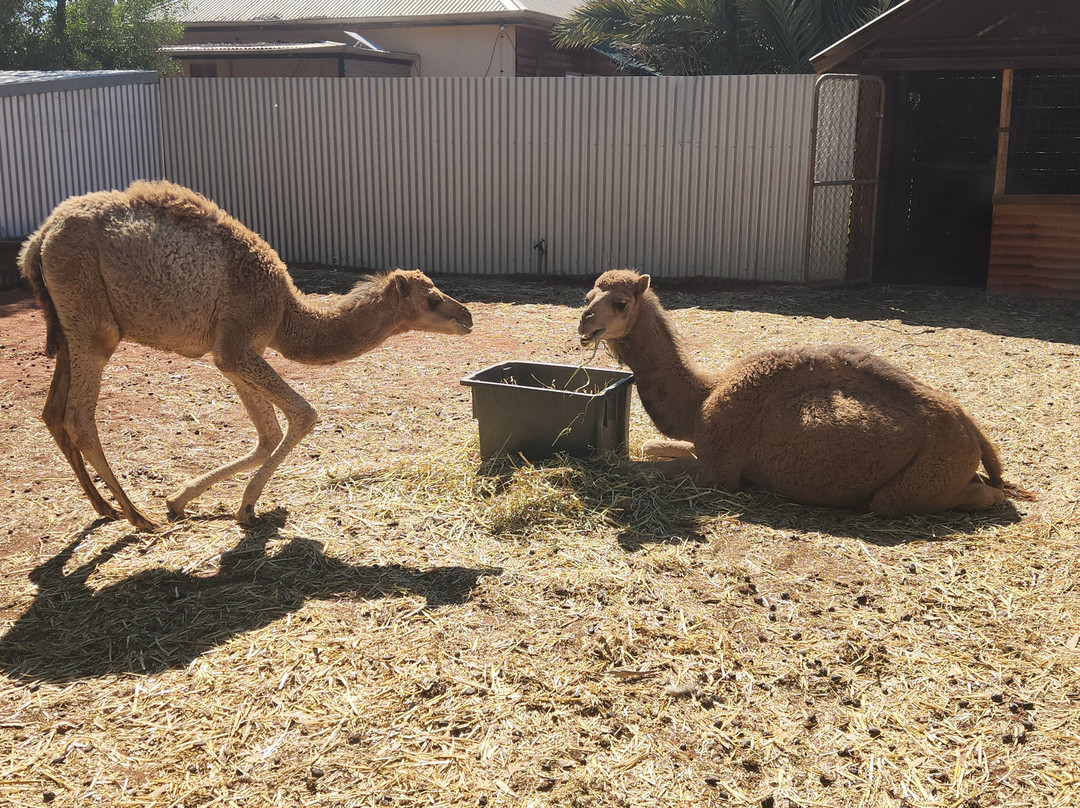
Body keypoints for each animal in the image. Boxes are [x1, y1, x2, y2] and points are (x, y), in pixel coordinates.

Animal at [19, 180, 473, 530]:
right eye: (432, 298)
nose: (467, 316)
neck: (286, 315)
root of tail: (39, 239)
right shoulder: (237, 345)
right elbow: (304, 415)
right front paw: (246, 505)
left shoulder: (233, 356)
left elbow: (267, 434)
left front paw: (181, 499)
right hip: (92, 323)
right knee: (79, 417)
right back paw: (137, 517)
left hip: (69, 326)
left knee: (53, 412)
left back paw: (105, 508)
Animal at [578, 269, 1030, 517]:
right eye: (588, 296)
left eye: (620, 302)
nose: (585, 323)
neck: (705, 396)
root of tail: (972, 430)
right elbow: (651, 446)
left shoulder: (719, 472)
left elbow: (631, 468)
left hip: (921, 476)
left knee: (950, 496)